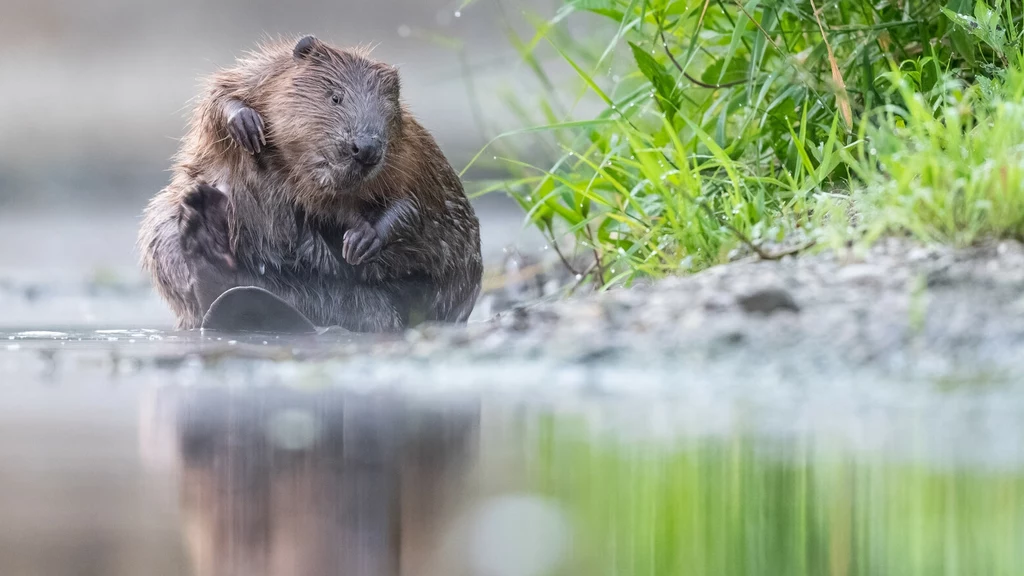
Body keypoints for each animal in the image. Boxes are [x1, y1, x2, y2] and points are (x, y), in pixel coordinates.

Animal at [137, 35, 483, 330]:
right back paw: (205, 224)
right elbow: (220, 96)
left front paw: (360, 241)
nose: (366, 148)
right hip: (163, 220)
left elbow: (411, 206)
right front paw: (246, 123)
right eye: (336, 97)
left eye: (388, 111)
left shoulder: (413, 156)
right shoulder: (261, 72)